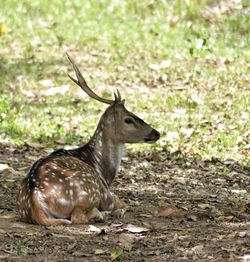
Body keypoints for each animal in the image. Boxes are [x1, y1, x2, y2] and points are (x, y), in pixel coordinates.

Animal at [16, 52, 159, 225]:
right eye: (128, 119)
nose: (156, 133)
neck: (103, 170)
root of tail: (35, 200)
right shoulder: (107, 194)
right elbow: (124, 204)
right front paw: (114, 212)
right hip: (89, 190)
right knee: (78, 217)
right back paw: (103, 215)